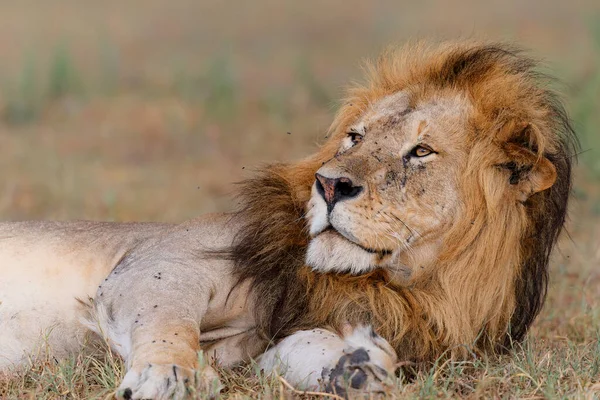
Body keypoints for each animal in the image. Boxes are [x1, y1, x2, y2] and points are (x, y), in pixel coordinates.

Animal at [0, 41, 576, 400]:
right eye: (355, 138)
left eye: (421, 152)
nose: (329, 185)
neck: (414, 289)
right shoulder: (156, 263)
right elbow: (168, 322)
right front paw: (170, 376)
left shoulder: (288, 336)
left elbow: (307, 348)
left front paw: (357, 369)